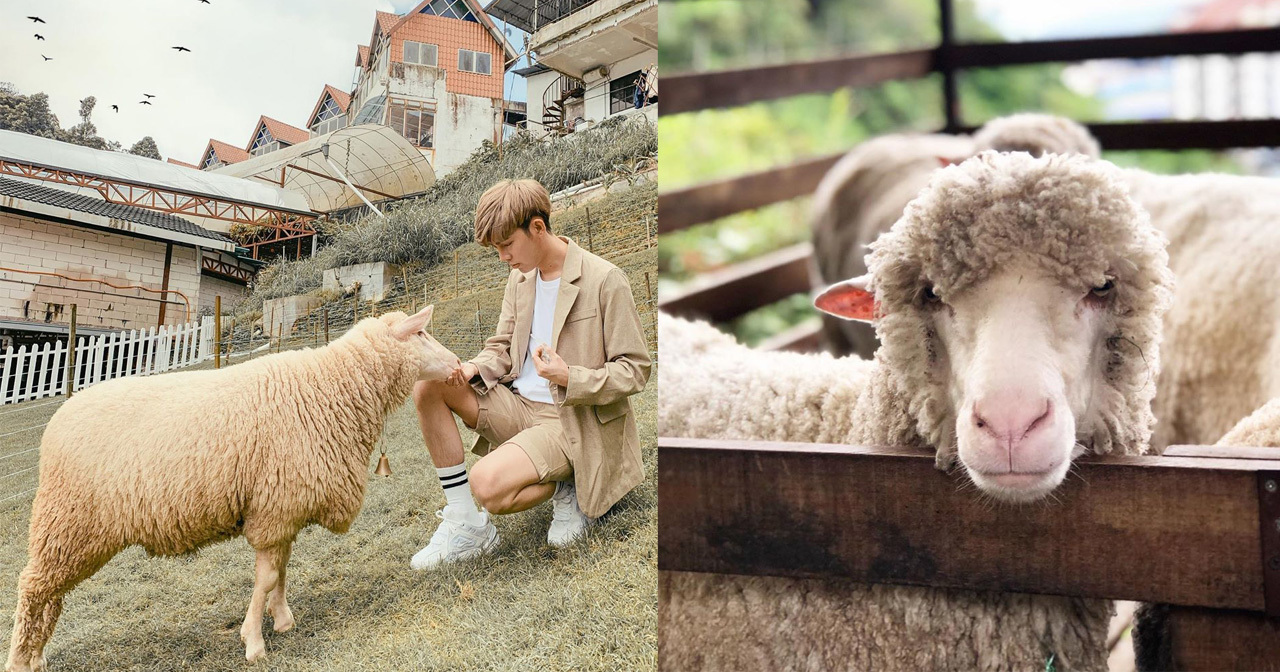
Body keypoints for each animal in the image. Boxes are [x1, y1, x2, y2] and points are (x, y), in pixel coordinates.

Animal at [2, 304, 463, 670]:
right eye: (421, 334)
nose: (459, 365)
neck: (333, 388)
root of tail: (58, 420)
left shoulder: (283, 507)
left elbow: (282, 571)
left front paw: (282, 619)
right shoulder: (274, 509)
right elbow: (266, 578)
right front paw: (254, 641)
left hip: (74, 528)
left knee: (50, 593)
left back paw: (38, 655)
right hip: (68, 520)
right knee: (33, 587)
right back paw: (21, 659)